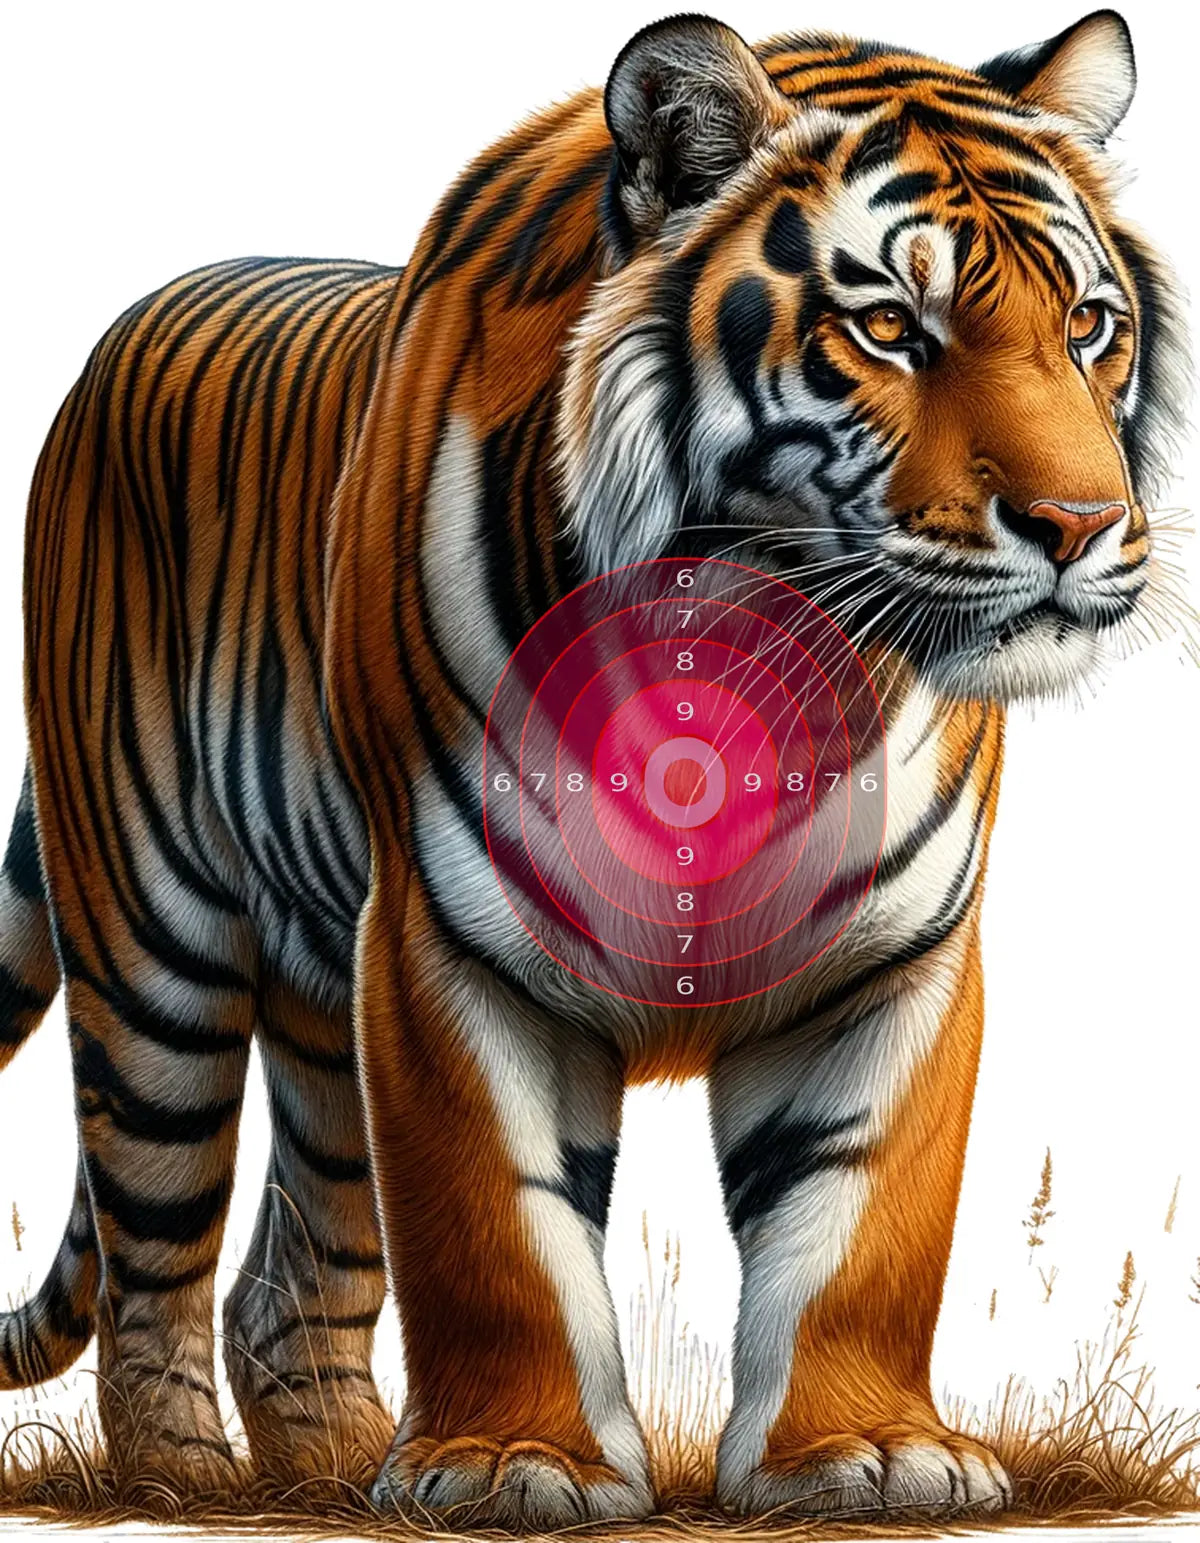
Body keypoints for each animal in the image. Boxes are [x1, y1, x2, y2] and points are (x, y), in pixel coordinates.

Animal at [0, 6, 1186, 1527]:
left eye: (1087, 326)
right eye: (888, 328)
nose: (1083, 523)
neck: (767, 643)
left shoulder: (893, 954)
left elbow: (859, 1221)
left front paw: (864, 1453)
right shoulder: (447, 939)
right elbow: (498, 1223)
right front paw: (519, 1464)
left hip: (320, 1011)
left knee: (293, 1274)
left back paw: (333, 1467)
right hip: (154, 953)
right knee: (152, 1246)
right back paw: (180, 1475)